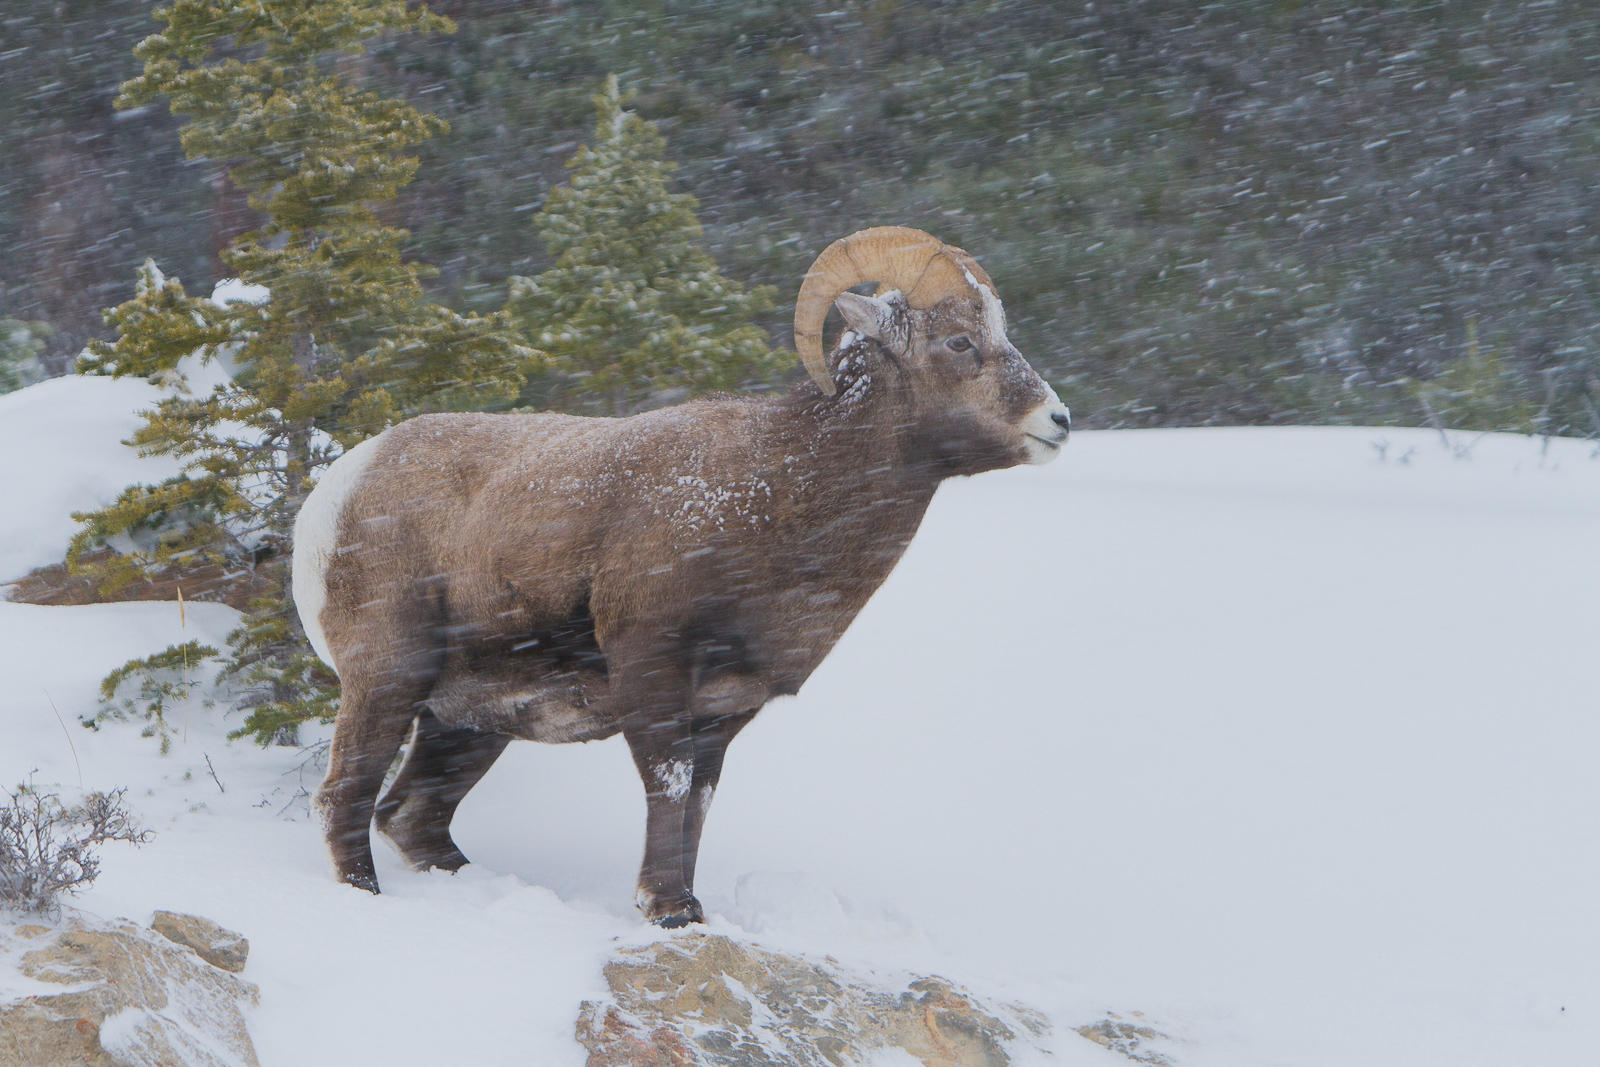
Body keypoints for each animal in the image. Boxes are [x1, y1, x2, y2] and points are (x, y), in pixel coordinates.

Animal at [294, 227, 1068, 927]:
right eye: (960, 343)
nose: (1057, 421)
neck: (773, 496)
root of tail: (337, 489)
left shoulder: (722, 714)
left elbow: (697, 801)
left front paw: (688, 909)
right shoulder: (654, 674)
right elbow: (667, 787)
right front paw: (665, 909)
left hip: (466, 723)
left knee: (413, 817)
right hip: (388, 680)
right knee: (345, 797)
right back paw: (364, 894)